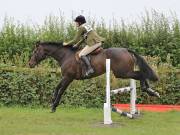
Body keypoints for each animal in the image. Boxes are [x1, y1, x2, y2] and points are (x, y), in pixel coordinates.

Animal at [28, 41, 159, 113]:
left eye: (35, 52)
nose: (30, 64)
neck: (65, 55)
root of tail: (126, 50)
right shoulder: (66, 77)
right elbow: (57, 88)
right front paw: (52, 103)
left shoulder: (68, 77)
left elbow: (60, 90)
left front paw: (54, 106)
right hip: (124, 72)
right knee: (140, 74)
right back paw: (150, 90)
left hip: (122, 73)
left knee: (141, 74)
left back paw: (149, 90)